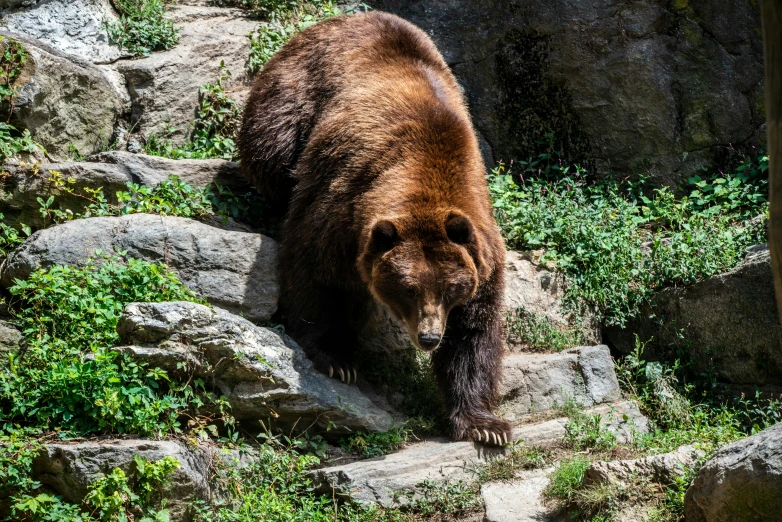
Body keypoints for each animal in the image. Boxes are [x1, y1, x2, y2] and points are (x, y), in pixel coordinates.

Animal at [239, 10, 516, 442]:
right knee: (270, 149)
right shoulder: (342, 207)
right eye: (408, 288)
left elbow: (474, 332)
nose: (429, 337)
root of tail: (347, 17)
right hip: (295, 91)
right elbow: (314, 272)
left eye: (450, 288)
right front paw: (337, 357)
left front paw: (484, 425)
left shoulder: (479, 245)